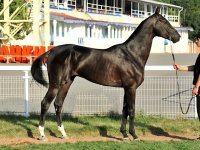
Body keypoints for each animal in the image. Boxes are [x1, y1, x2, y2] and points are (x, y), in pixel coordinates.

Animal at [30, 7, 180, 141]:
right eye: (164, 21)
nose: (177, 37)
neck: (131, 54)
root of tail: (52, 51)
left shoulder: (126, 88)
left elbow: (125, 111)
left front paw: (124, 134)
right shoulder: (131, 88)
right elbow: (131, 111)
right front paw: (134, 135)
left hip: (67, 83)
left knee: (58, 104)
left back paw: (63, 133)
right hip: (55, 84)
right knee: (45, 103)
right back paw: (42, 135)